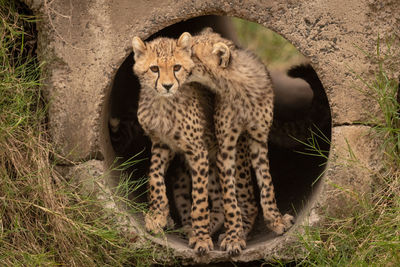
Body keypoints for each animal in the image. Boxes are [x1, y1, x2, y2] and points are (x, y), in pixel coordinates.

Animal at [130, 33, 256, 255]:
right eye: (154, 69)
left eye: (177, 67)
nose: (167, 86)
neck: (162, 103)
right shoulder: (162, 145)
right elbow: (154, 176)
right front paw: (158, 215)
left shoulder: (197, 152)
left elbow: (199, 201)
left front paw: (202, 239)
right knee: (219, 203)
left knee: (247, 203)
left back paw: (234, 236)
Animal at [183, 29, 296, 255]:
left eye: (192, 52)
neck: (237, 85)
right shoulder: (225, 148)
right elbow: (229, 199)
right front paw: (233, 236)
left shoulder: (258, 140)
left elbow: (267, 185)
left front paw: (276, 221)